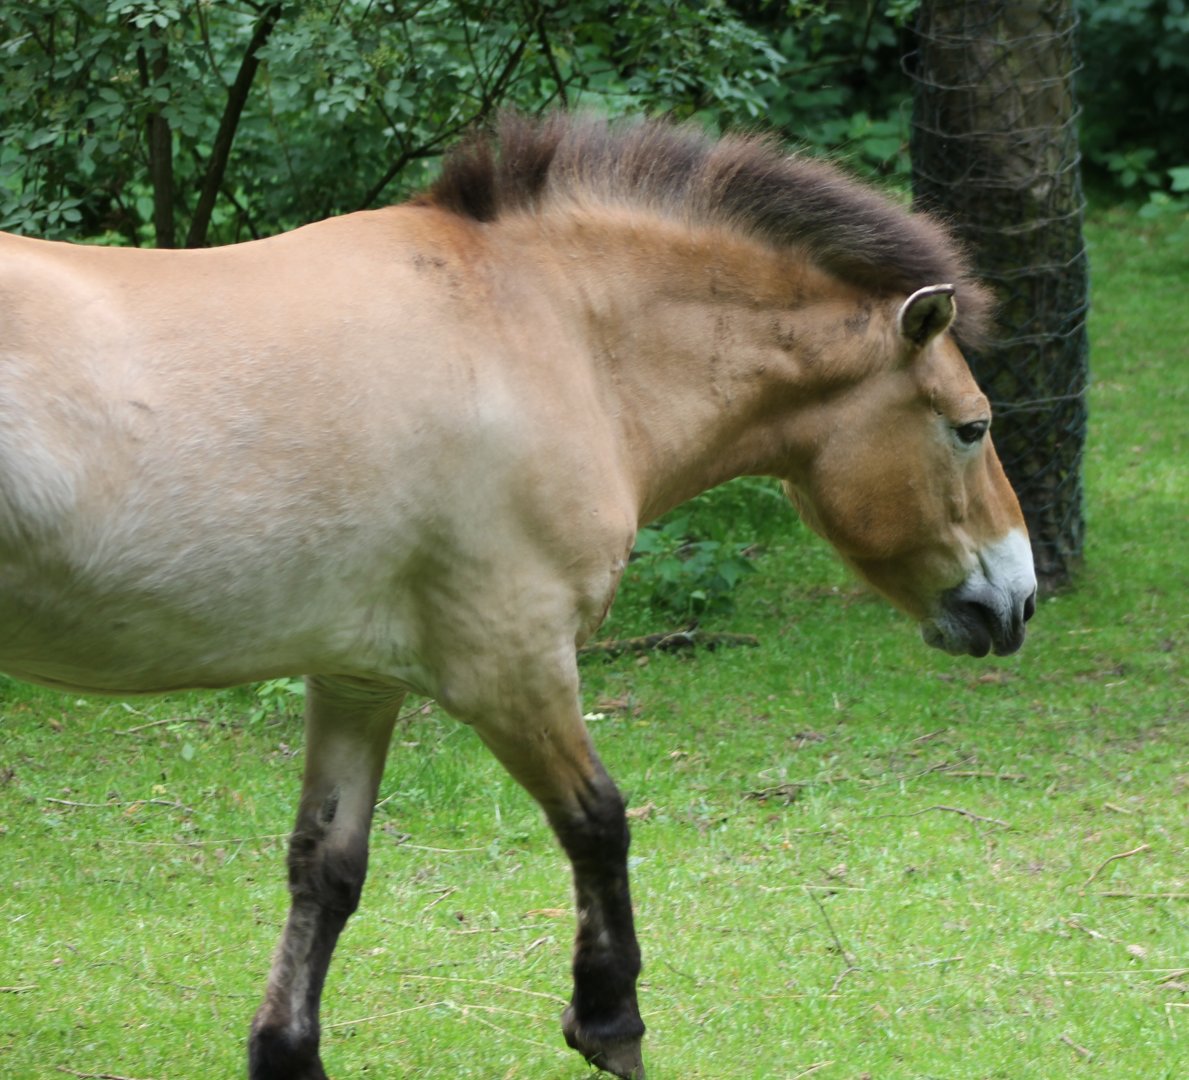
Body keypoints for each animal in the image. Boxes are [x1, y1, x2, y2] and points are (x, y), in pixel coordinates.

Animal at [0, 112, 1037, 1079]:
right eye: (970, 427)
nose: (1015, 600)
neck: (550, 331)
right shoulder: (513, 662)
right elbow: (598, 821)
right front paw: (609, 1022)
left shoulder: (357, 679)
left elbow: (325, 869)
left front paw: (287, 1050)